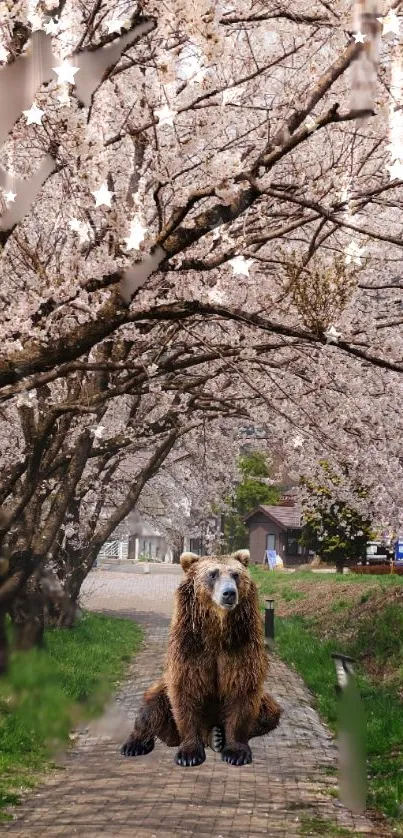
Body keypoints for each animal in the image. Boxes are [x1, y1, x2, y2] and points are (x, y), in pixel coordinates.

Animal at [121, 552, 282, 768]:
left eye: (236, 574)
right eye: (212, 574)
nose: (229, 593)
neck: (216, 630)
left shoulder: (241, 645)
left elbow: (241, 690)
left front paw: (236, 752)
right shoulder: (191, 647)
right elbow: (186, 691)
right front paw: (189, 754)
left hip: (265, 703)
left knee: (269, 712)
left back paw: (217, 736)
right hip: (163, 694)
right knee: (151, 705)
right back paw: (134, 744)